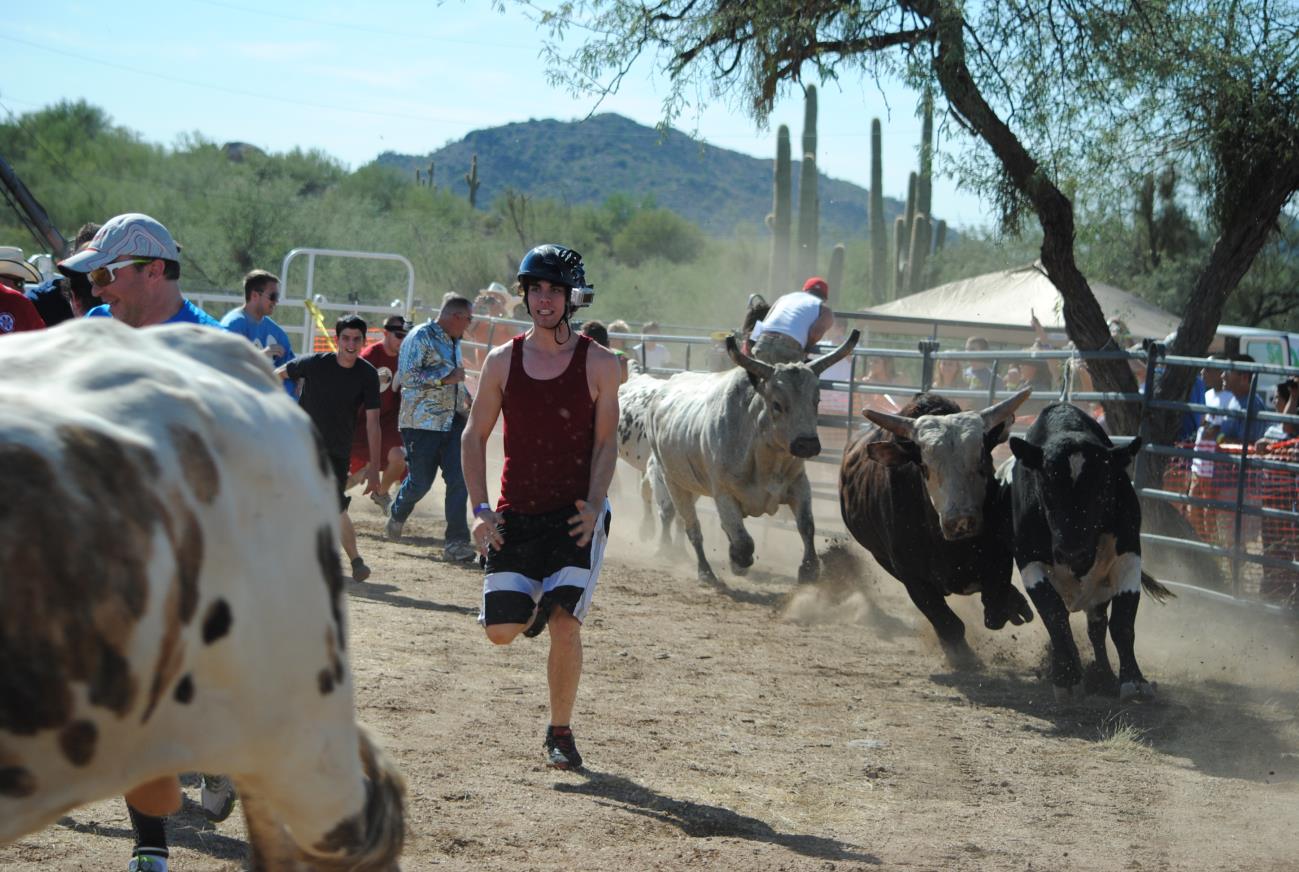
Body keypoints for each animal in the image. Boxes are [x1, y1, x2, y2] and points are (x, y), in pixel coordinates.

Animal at [997, 402, 1174, 701]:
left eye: (1103, 487)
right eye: (1046, 487)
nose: (1072, 553)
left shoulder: (1128, 556)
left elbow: (1122, 623)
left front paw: (1134, 680)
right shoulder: (1029, 562)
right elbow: (1054, 616)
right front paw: (1066, 675)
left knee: (1097, 627)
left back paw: (1103, 676)